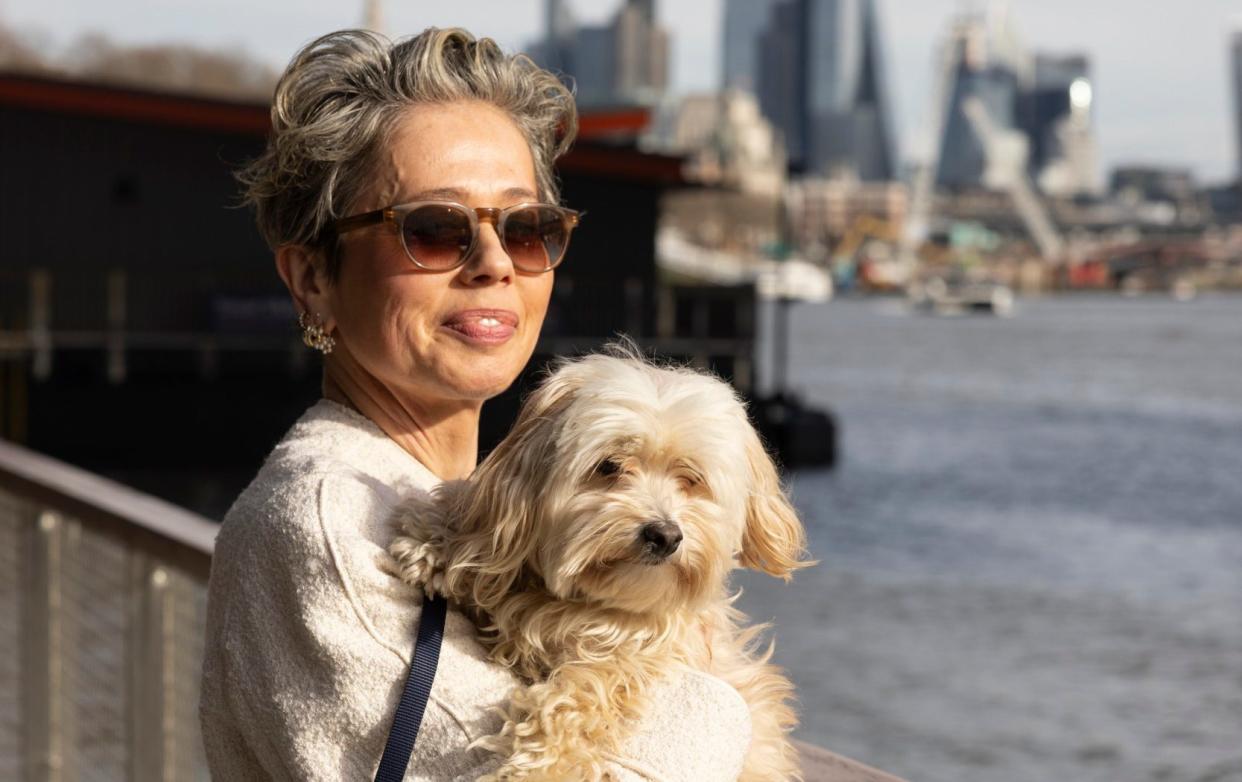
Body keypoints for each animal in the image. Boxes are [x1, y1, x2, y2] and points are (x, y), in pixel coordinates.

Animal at [389, 350, 814, 782]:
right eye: (609, 466)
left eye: (691, 478)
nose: (665, 535)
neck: (586, 605)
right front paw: (437, 542)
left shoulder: (636, 653)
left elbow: (583, 691)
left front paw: (540, 767)